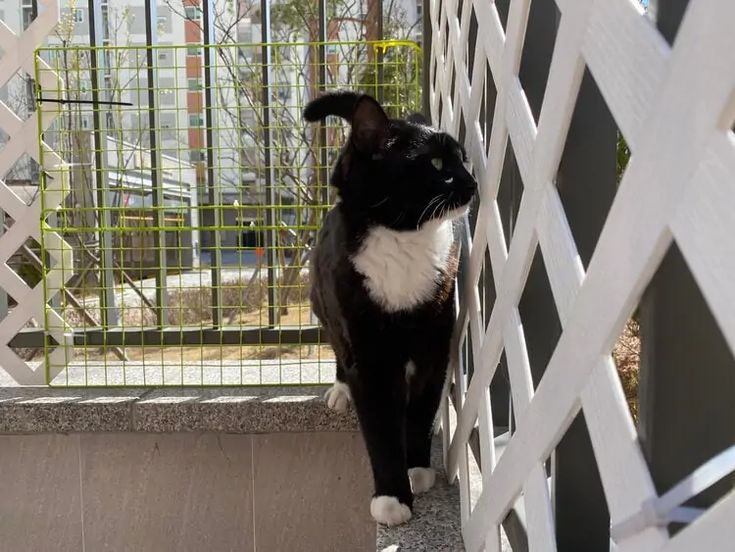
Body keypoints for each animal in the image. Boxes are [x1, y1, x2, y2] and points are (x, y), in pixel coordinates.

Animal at [304, 91, 478, 528]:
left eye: (463, 159)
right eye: (436, 164)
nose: (472, 183)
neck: (403, 239)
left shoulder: (435, 343)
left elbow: (421, 410)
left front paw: (416, 467)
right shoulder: (369, 356)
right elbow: (380, 427)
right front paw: (391, 497)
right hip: (325, 308)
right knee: (338, 350)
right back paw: (339, 390)